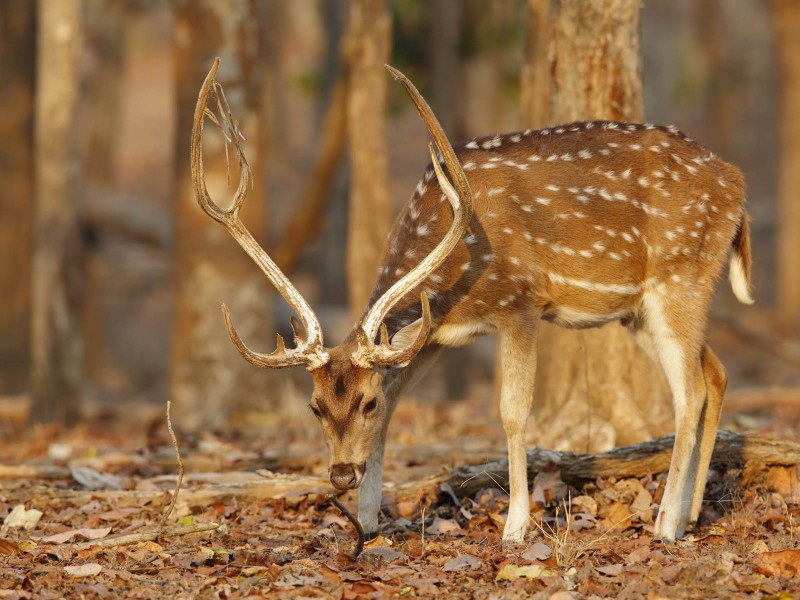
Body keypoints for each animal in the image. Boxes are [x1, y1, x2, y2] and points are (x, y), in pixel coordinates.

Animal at [191, 59, 752, 544]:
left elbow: (512, 413)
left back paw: (665, 524)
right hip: (638, 311)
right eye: (315, 406)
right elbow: (398, 411)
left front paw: (515, 527)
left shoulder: (522, 303)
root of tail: (738, 184)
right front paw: (369, 521)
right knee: (715, 372)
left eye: (365, 401)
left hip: (682, 274)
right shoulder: (433, 336)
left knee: (689, 392)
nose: (342, 475)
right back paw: (692, 514)